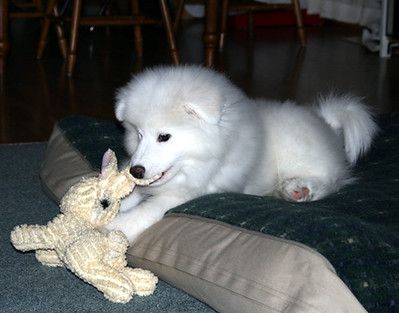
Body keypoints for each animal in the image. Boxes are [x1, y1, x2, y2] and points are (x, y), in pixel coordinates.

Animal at [104, 64, 380, 243]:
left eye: (164, 136)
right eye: (139, 135)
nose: (136, 171)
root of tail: (328, 125)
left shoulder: (191, 192)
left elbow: (146, 211)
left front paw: (113, 227)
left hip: (303, 153)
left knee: (331, 180)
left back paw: (300, 188)